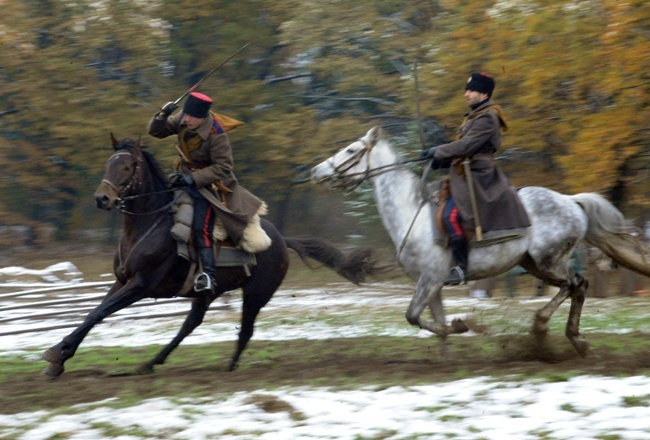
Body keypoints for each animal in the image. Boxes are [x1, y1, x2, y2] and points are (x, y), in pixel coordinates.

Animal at [43, 136, 378, 376]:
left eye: (127, 167)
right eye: (109, 164)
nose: (102, 198)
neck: (148, 224)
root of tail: (282, 241)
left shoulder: (140, 285)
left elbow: (98, 313)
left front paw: (56, 353)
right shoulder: (122, 281)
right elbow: (95, 312)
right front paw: (60, 357)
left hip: (256, 294)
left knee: (245, 331)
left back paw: (228, 368)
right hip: (208, 292)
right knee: (191, 324)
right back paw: (151, 363)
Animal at [310, 125, 648, 356]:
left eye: (351, 150)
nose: (316, 171)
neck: (412, 213)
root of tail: (571, 201)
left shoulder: (430, 279)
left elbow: (413, 316)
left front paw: (466, 326)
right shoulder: (431, 285)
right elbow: (431, 323)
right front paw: (448, 353)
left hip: (548, 260)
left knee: (576, 284)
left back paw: (551, 329)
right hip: (534, 264)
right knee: (574, 287)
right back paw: (567, 337)